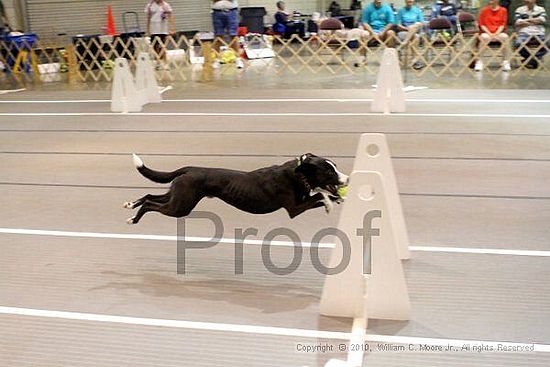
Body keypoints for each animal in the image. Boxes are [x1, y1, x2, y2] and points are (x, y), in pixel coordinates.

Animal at [125, 153, 350, 224]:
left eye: (335, 167)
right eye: (329, 172)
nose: (347, 179)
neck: (298, 174)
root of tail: (188, 169)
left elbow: (320, 194)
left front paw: (338, 199)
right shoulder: (294, 209)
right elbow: (319, 195)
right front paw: (330, 203)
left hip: (176, 196)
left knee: (149, 196)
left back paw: (130, 206)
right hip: (180, 207)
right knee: (150, 203)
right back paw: (134, 219)